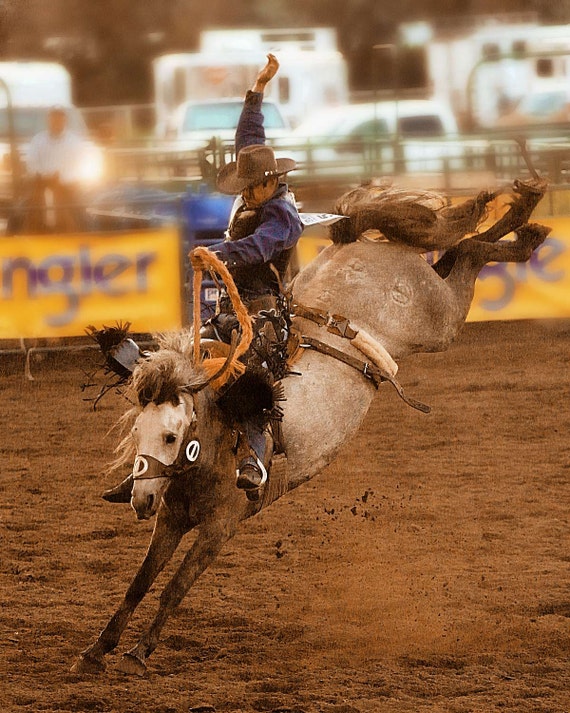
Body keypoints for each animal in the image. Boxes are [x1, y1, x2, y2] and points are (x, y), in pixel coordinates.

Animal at [70, 177, 544, 672]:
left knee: (467, 254)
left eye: (170, 434)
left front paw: (138, 653)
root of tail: (351, 242)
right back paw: (522, 219)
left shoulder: (221, 526)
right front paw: (97, 650)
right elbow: (139, 583)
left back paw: (527, 226)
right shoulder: (170, 519)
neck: (214, 445)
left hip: (438, 320)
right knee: (451, 248)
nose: (140, 498)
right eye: (136, 432)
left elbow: (175, 587)